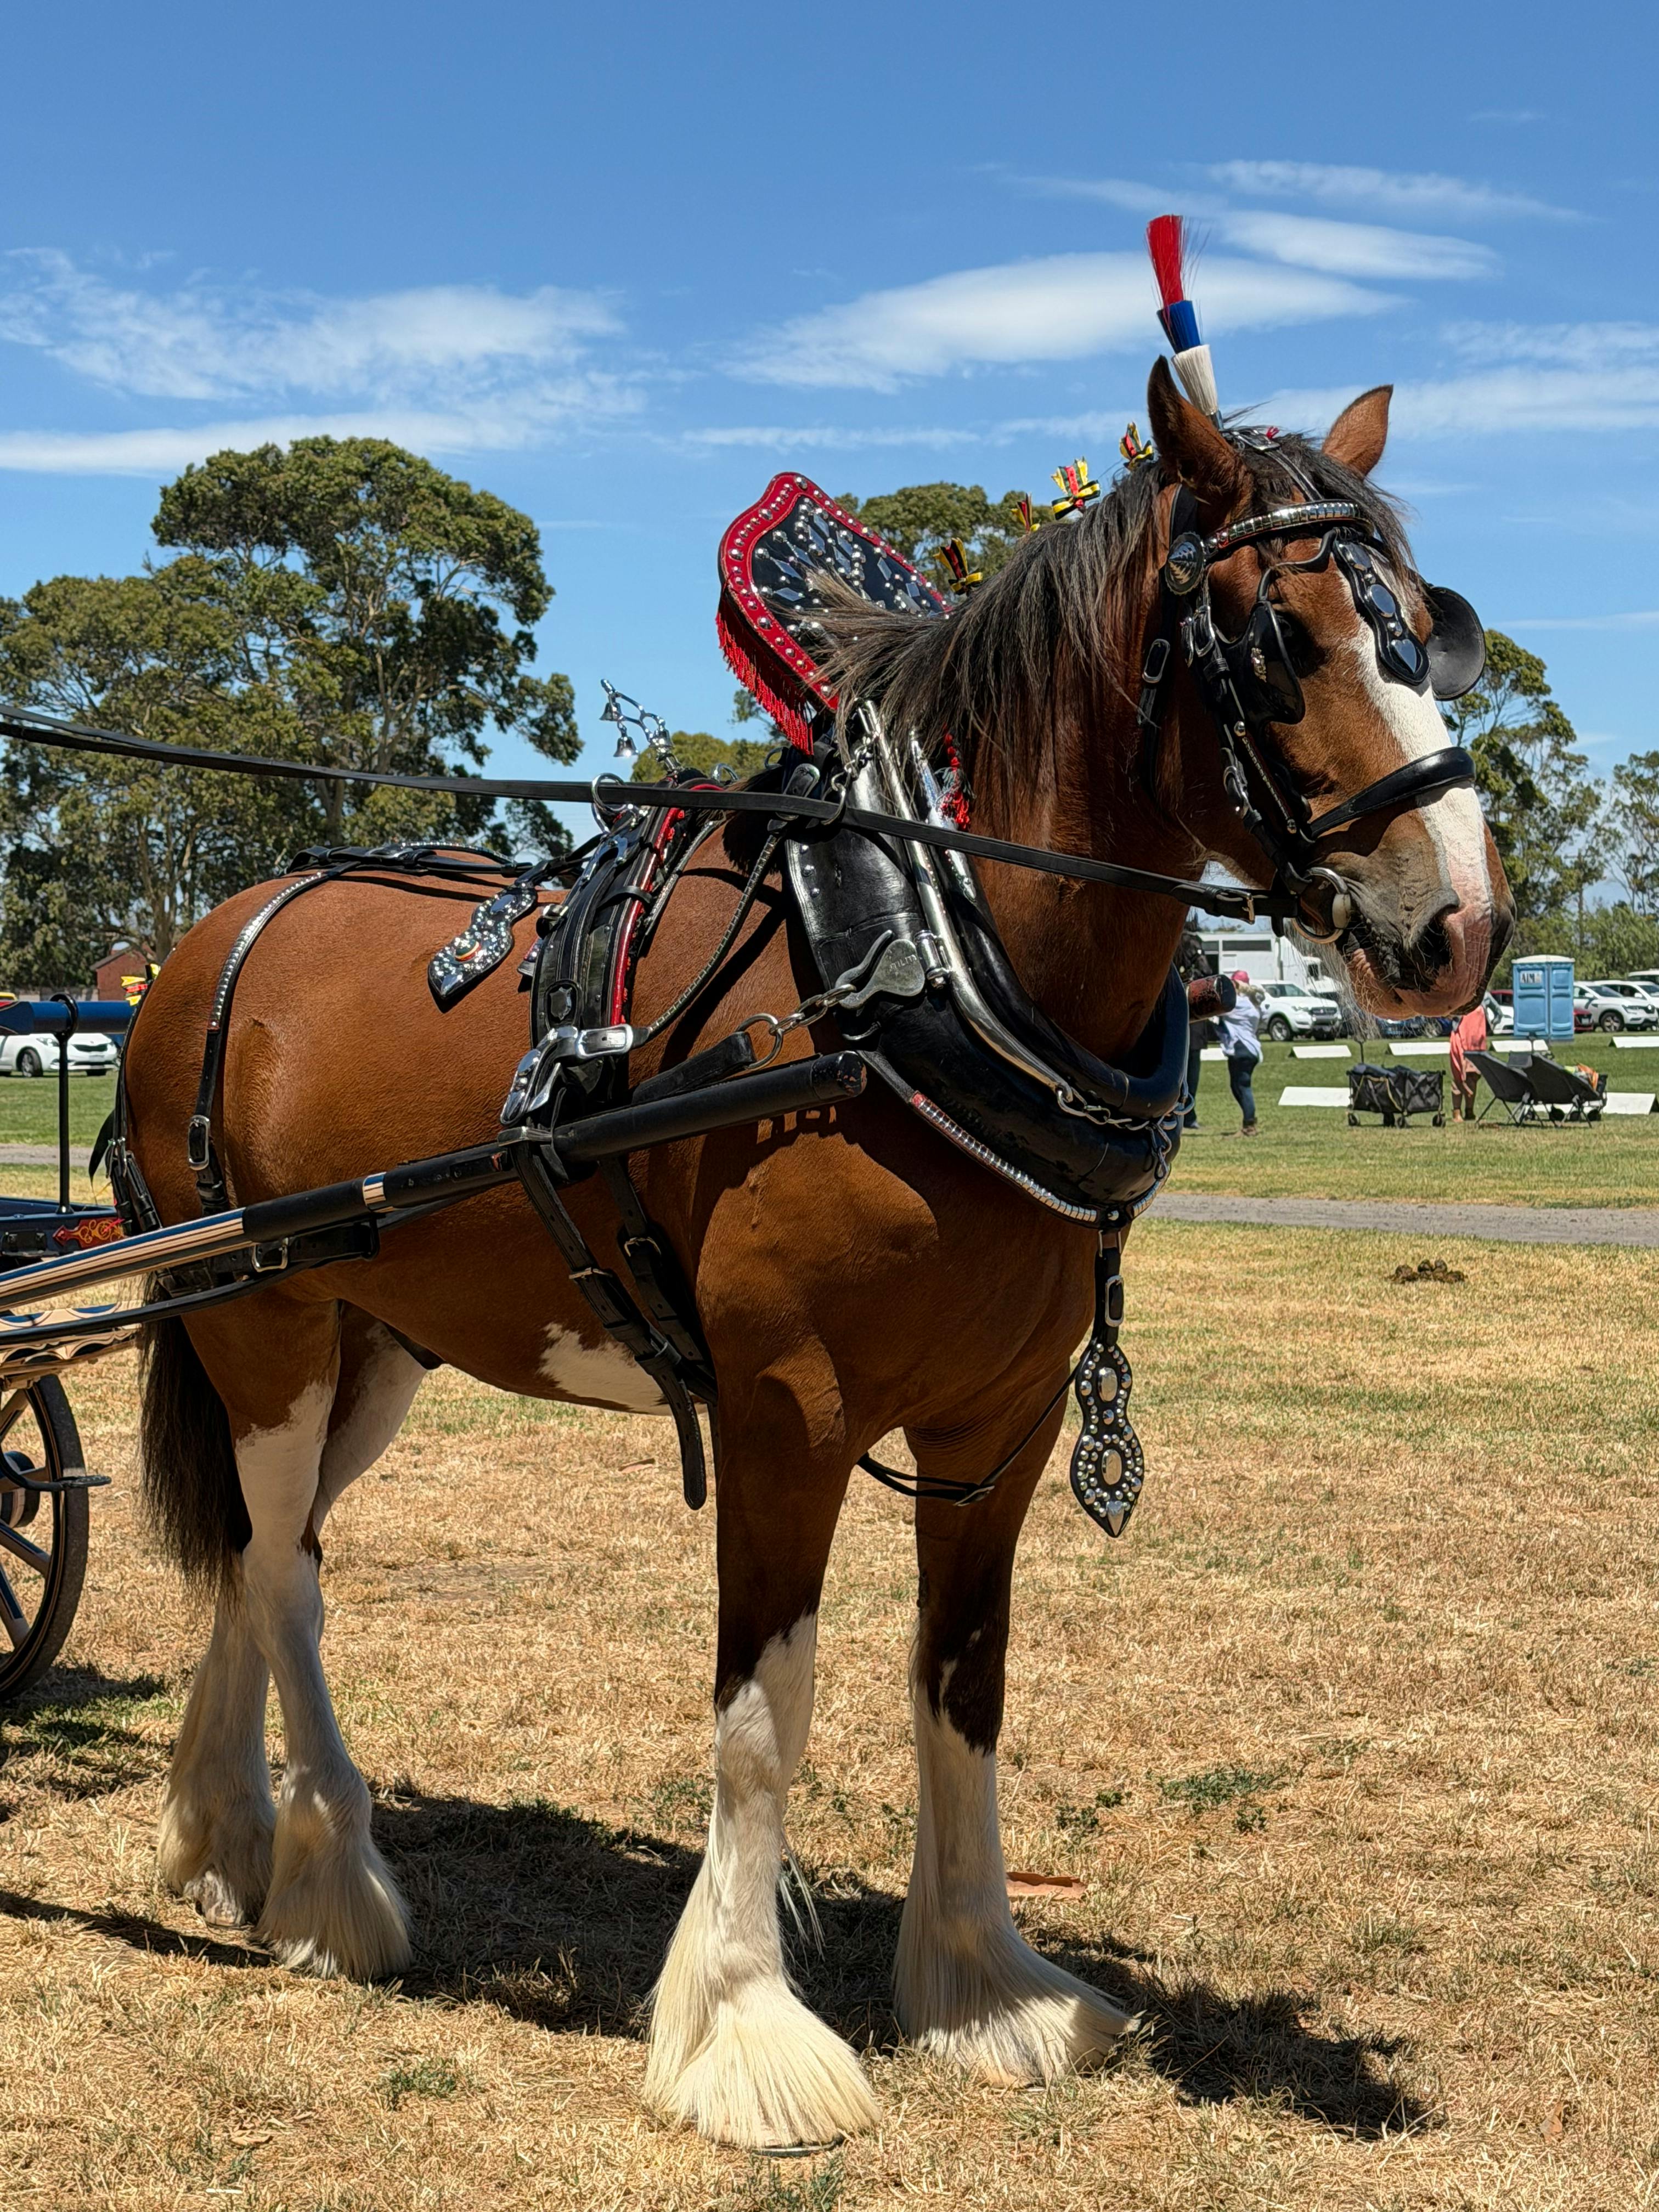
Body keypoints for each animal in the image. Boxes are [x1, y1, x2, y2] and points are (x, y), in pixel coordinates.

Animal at [124, 364, 1512, 2151]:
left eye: (1432, 629)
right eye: (1280, 637)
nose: (1460, 926)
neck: (917, 960)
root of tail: (209, 937)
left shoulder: (1003, 1425)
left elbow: (963, 1692)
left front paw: (983, 1984)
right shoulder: (788, 1414)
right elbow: (761, 1722)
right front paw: (741, 2029)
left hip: (372, 1343)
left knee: (254, 1548)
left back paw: (229, 1838)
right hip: (269, 1324)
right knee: (289, 1575)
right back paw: (333, 1885)